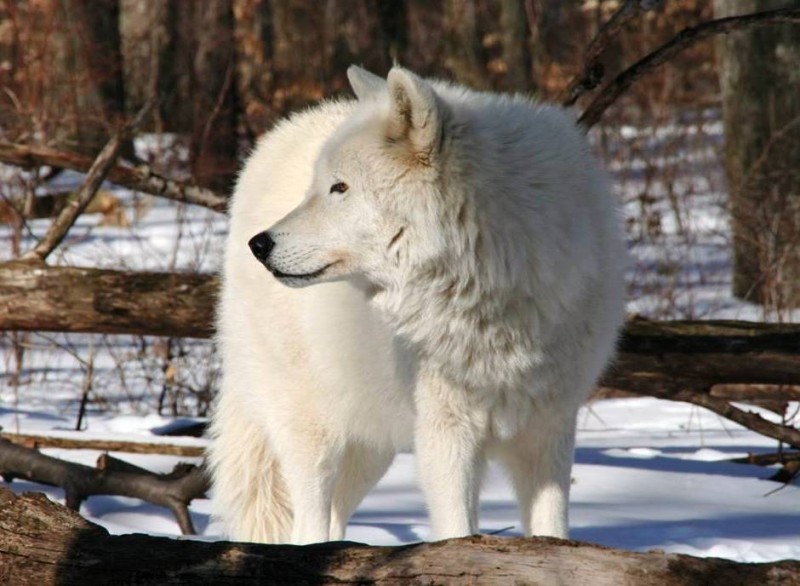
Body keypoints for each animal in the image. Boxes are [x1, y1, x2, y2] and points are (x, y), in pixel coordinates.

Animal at [209, 65, 626, 545]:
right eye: (321, 186)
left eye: (339, 187)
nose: (260, 244)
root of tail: (264, 150)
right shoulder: (446, 434)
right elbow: (457, 534)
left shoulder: (549, 430)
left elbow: (554, 533)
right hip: (314, 431)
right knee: (307, 525)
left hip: (371, 442)